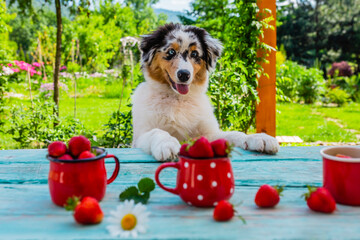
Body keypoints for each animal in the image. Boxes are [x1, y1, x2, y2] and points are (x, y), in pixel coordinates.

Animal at [131, 23, 278, 161]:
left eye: (195, 54)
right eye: (171, 52)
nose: (184, 75)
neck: (178, 99)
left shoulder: (208, 133)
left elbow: (235, 134)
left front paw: (258, 138)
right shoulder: (141, 135)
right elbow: (157, 131)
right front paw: (167, 144)